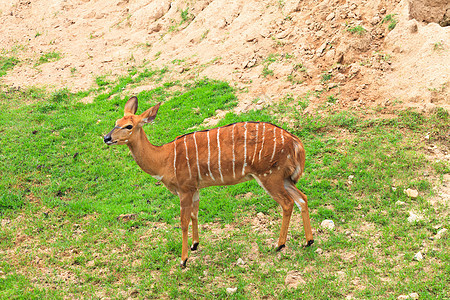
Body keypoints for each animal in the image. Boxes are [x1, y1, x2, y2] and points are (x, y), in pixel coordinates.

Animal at [103, 96, 312, 268]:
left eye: (129, 126)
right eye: (116, 123)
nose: (106, 138)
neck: (164, 159)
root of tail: (296, 142)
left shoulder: (185, 189)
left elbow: (183, 221)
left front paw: (183, 260)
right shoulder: (195, 189)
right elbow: (195, 214)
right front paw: (195, 245)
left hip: (270, 176)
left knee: (287, 203)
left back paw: (279, 244)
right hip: (284, 178)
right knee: (302, 198)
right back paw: (308, 241)